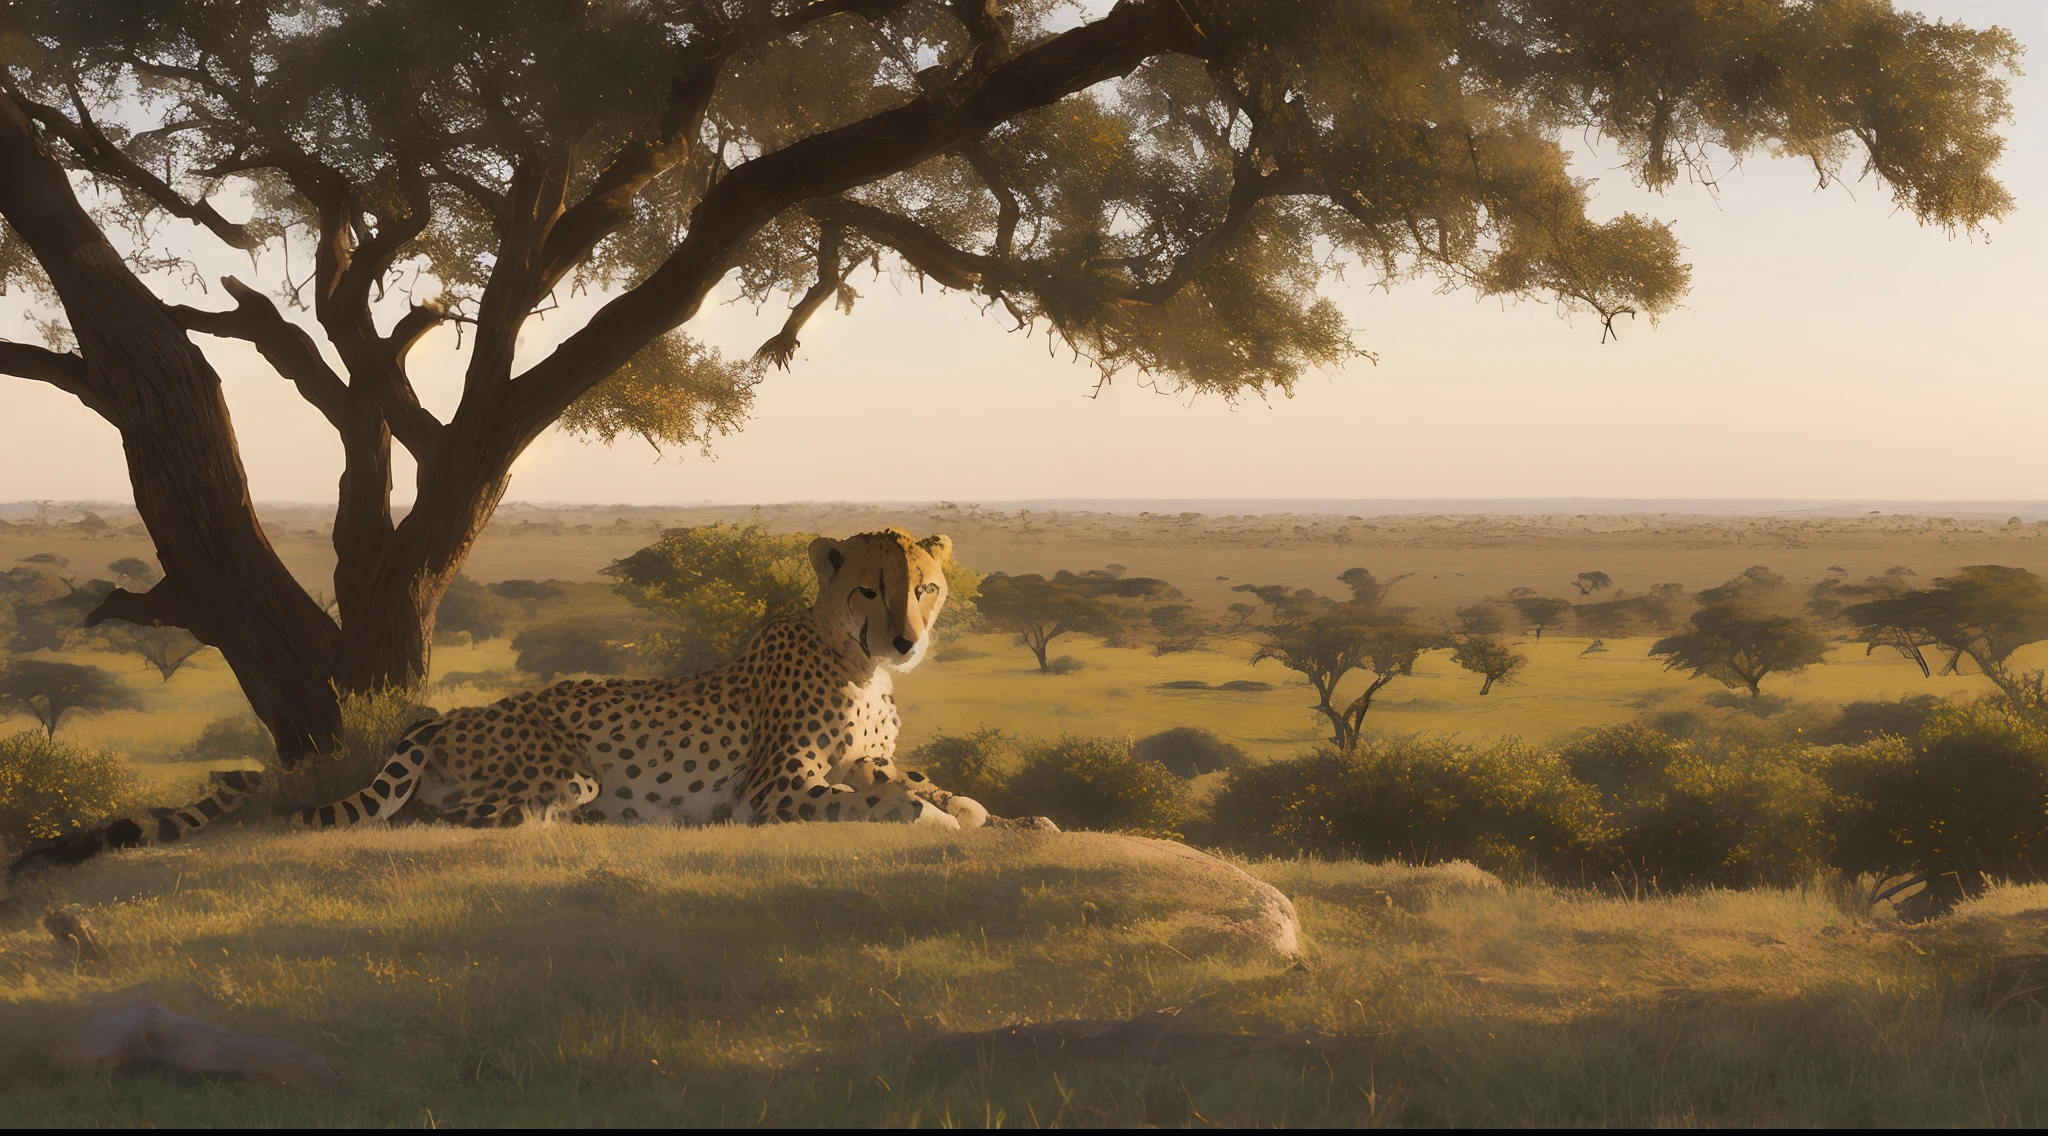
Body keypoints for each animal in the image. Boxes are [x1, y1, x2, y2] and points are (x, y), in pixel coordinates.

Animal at [14, 528, 1007, 876]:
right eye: (873, 589)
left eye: (926, 588)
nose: (907, 640)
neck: (857, 662)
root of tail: (450, 712)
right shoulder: (775, 790)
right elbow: (880, 802)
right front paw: (935, 820)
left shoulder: (863, 757)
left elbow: (915, 779)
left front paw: (981, 810)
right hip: (564, 770)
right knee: (451, 822)